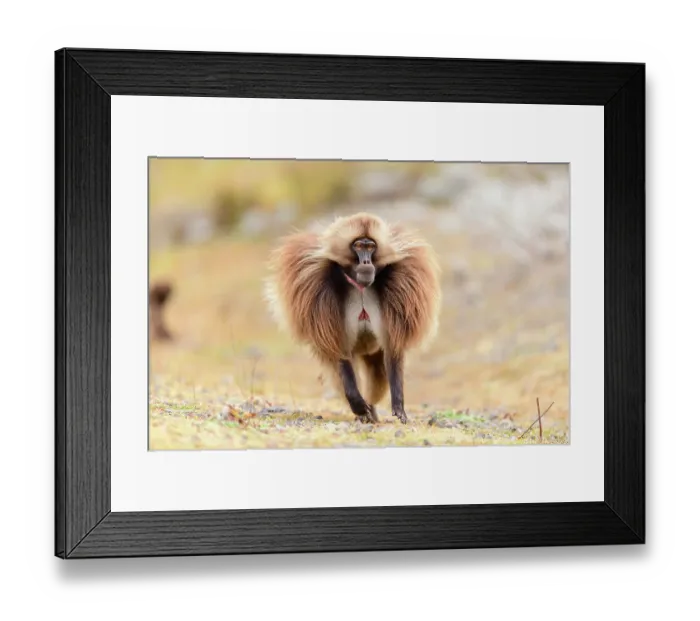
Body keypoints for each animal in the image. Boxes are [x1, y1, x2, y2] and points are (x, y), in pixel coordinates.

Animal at [265, 212, 441, 424]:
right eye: (358, 246)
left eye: (370, 247)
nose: (366, 263)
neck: (361, 287)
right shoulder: (318, 292)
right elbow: (340, 352)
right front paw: (358, 405)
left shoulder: (401, 290)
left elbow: (393, 349)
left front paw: (399, 406)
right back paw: (363, 412)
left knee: (378, 372)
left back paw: (372, 410)